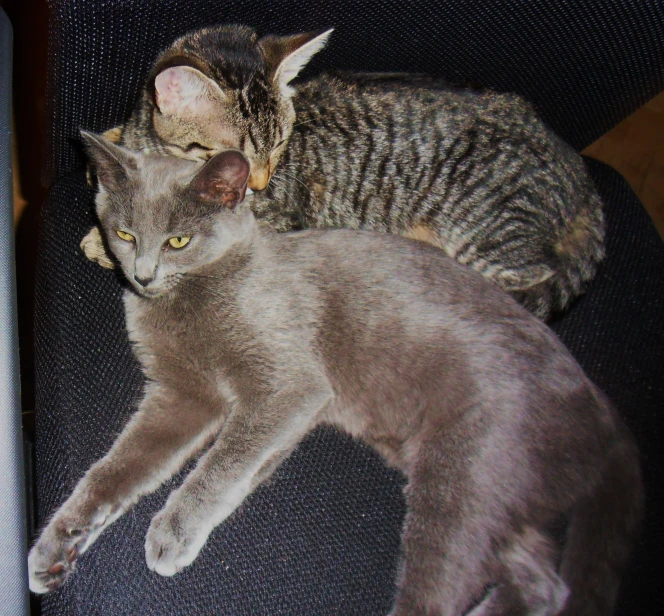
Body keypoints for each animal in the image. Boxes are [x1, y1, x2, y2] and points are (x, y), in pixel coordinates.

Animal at [28, 136, 640, 616]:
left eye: (178, 240)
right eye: (126, 234)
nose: (143, 275)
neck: (182, 305)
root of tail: (604, 411)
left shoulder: (289, 386)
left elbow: (223, 463)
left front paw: (173, 531)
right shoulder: (179, 397)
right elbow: (117, 470)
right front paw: (59, 542)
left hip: (469, 472)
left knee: (446, 591)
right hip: (502, 491)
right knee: (542, 585)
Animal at [80, 24, 604, 320]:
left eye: (280, 145)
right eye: (235, 154)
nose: (259, 182)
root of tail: (580, 173)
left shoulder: (274, 221)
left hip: (486, 231)